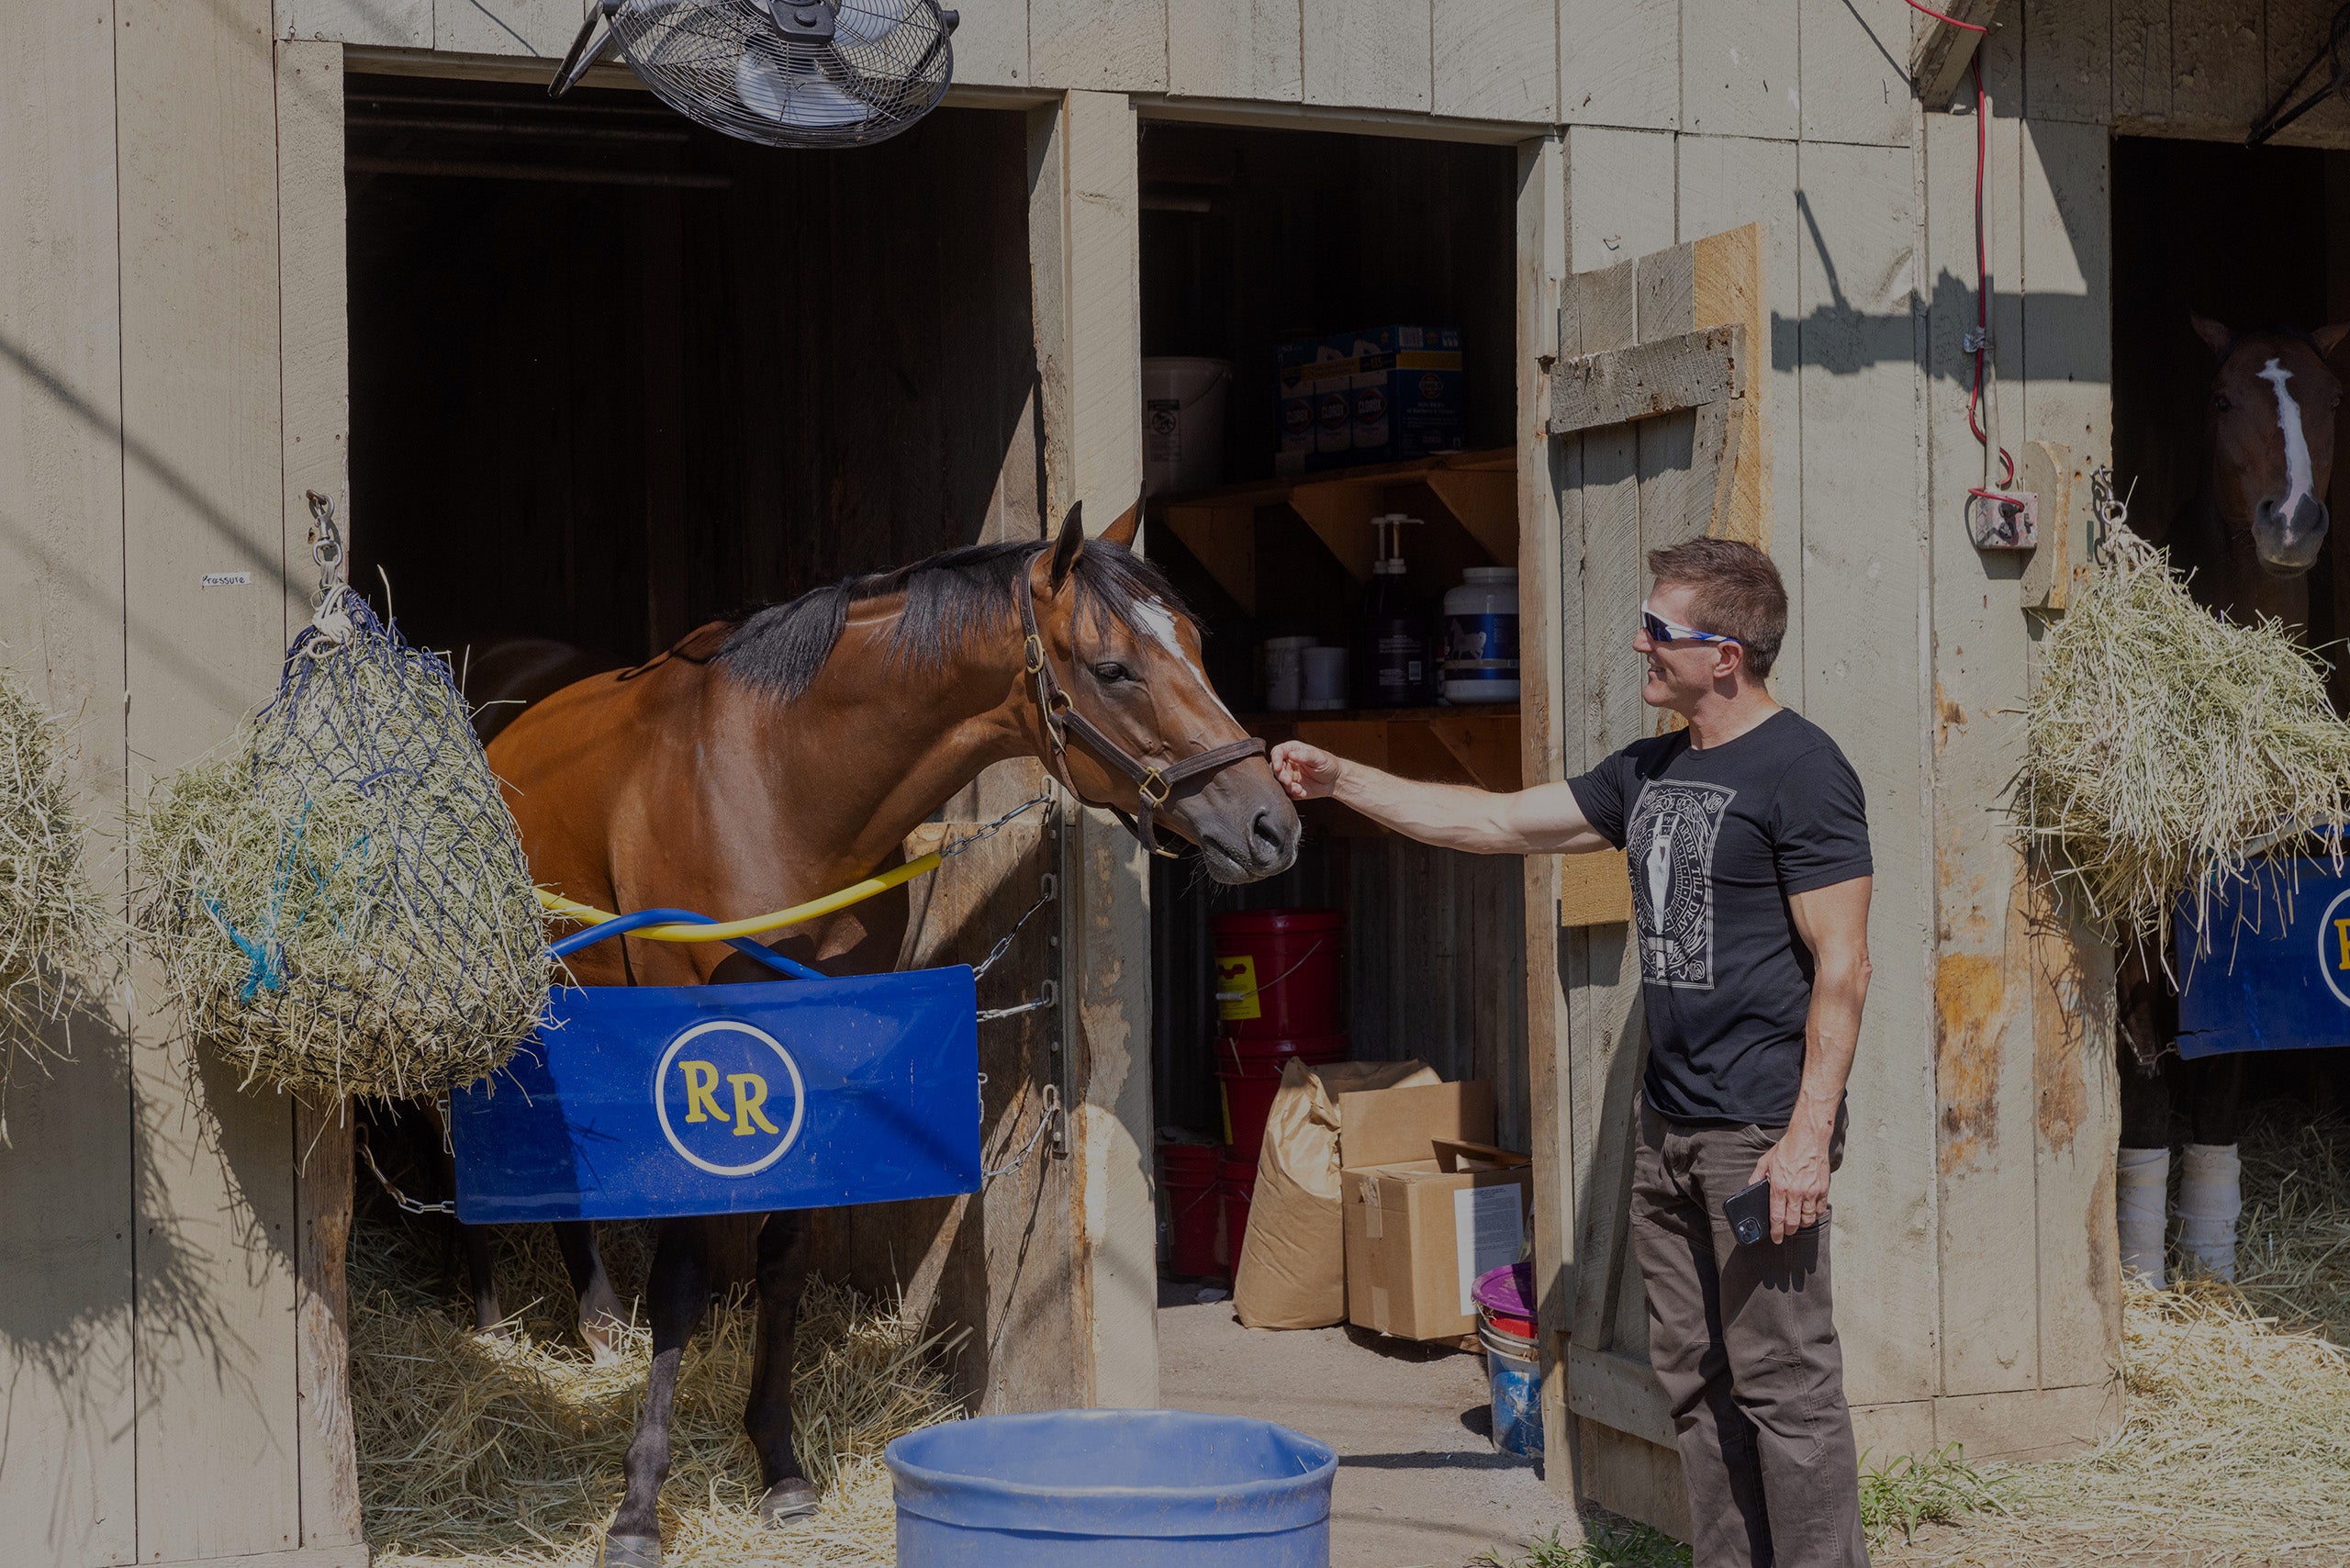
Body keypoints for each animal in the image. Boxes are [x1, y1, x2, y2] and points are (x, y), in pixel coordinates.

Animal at [479, 510, 1306, 1561]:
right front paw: (637, 1508)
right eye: (1114, 668)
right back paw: (514, 1318)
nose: (1270, 823)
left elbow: (785, 1260)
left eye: (1196, 647)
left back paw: (592, 1320)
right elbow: (684, 1275)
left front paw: (781, 1467)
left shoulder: (817, 1042)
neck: (777, 782)